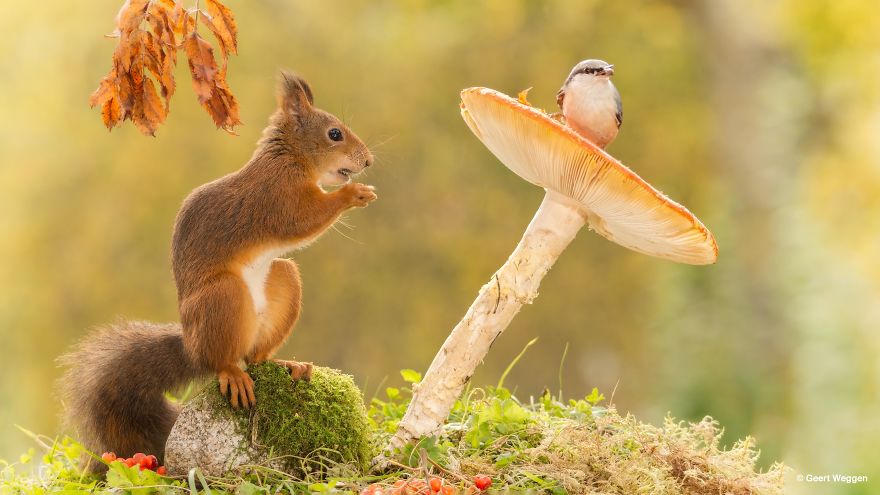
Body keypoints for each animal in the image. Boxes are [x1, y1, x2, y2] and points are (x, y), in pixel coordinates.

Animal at [58, 71, 377, 468]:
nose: (369, 161)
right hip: (223, 296)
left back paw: (287, 364)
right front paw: (354, 194)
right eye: (335, 133)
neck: (289, 157)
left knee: (255, 356)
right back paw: (233, 374)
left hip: (282, 281)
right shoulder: (276, 197)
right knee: (224, 361)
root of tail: (191, 346)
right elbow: (302, 219)